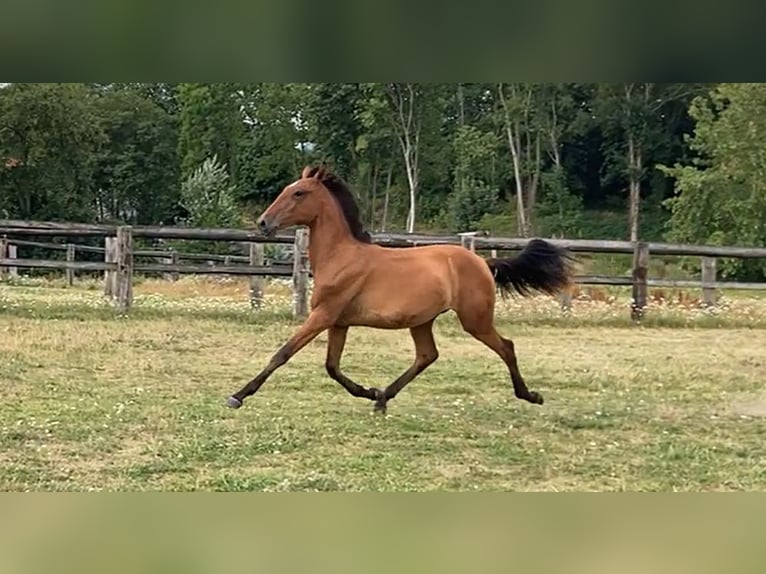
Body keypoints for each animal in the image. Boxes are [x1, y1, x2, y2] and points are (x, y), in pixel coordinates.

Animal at [226, 165, 574, 414]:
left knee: (506, 347)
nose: (263, 223)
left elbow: (283, 353)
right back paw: (383, 398)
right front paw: (367, 392)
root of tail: (482, 262)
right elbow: (332, 366)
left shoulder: (323, 315)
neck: (341, 256)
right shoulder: (339, 322)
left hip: (474, 319)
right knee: (427, 355)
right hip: (422, 321)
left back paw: (530, 395)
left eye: (298, 193)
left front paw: (238, 396)